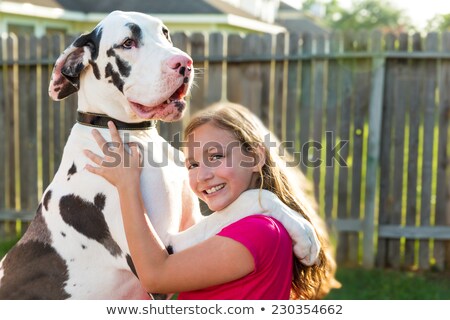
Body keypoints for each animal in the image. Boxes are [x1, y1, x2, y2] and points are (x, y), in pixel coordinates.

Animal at [0, 10, 318, 300]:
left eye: (165, 34)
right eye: (127, 42)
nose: (185, 63)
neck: (134, 133)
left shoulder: (191, 223)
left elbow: (245, 202)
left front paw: (302, 226)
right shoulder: (163, 252)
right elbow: (248, 199)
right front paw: (305, 235)